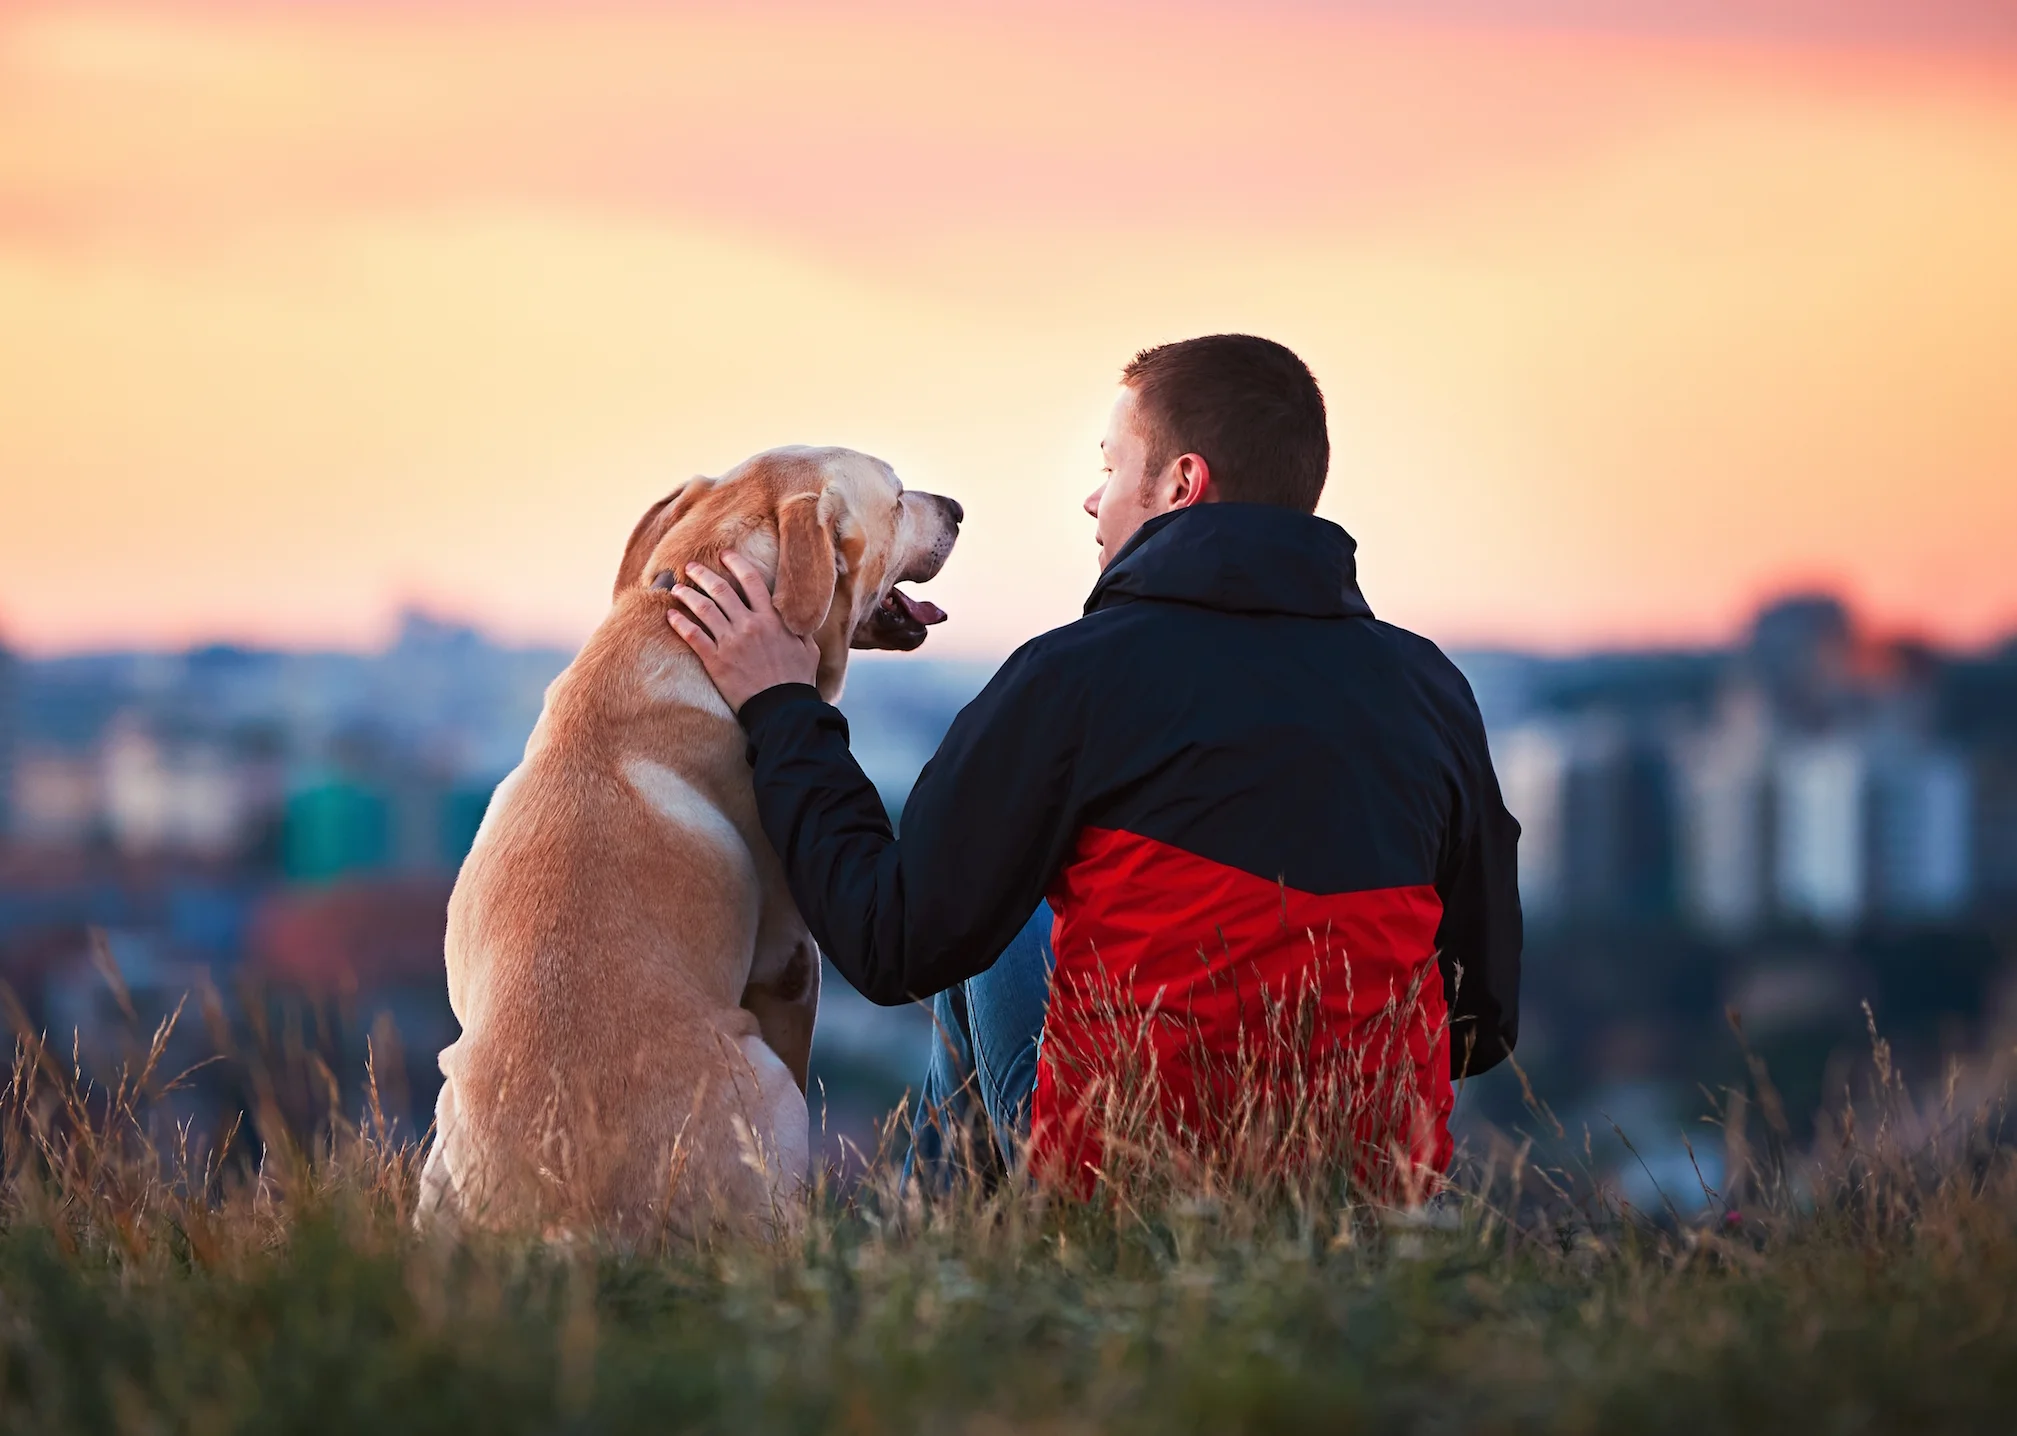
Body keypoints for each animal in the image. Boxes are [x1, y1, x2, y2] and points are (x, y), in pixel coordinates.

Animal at [419, 445, 960, 1234]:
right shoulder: (791, 960)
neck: (674, 626)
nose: (958, 508)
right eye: (894, 499)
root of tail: (568, 1218)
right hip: (766, 1085)